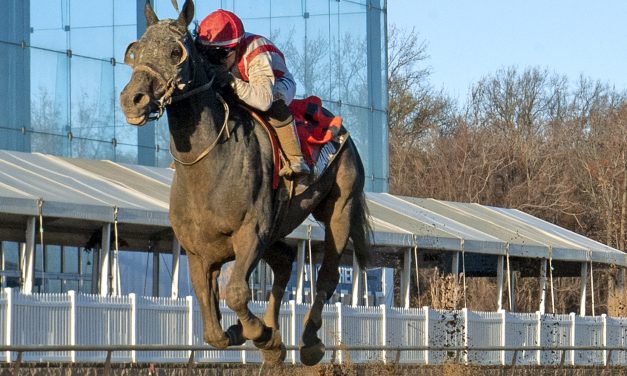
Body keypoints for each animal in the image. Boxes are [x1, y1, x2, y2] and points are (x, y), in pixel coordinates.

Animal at [120, 0, 370, 364]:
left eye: (174, 52)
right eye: (135, 50)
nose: (132, 99)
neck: (209, 167)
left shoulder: (251, 232)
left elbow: (237, 292)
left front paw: (261, 334)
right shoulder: (198, 250)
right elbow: (213, 331)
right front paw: (252, 334)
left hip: (340, 207)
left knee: (328, 274)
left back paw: (309, 342)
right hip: (278, 226)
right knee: (285, 262)